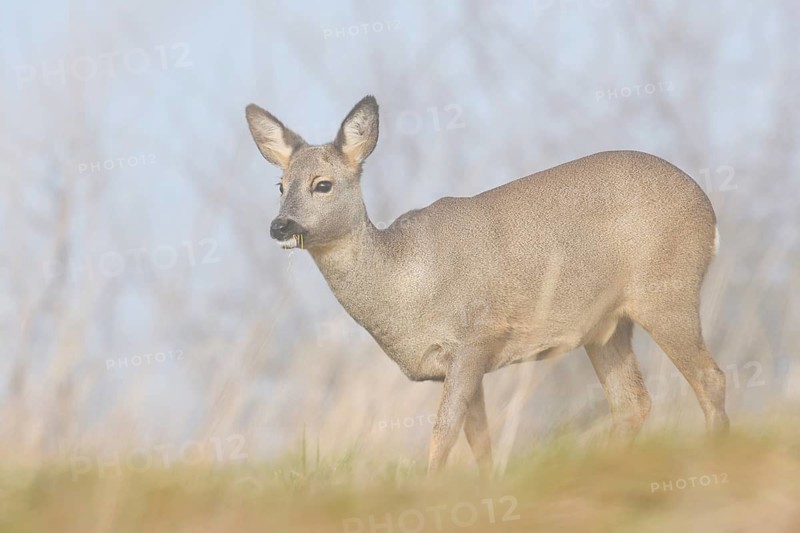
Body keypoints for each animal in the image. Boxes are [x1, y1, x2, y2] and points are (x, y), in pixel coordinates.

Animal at [245, 95, 730, 478]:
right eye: (280, 185)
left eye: (322, 184)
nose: (279, 225)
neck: (405, 278)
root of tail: (708, 208)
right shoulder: (461, 363)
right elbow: (478, 439)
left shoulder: (474, 338)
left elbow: (443, 433)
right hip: (606, 327)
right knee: (633, 404)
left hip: (666, 290)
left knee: (710, 378)